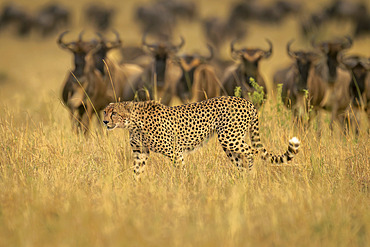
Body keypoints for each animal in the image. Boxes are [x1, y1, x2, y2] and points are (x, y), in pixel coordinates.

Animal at [102, 96, 300, 178]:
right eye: (105, 111)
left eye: (114, 113)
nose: (104, 121)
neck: (132, 122)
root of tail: (247, 101)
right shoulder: (140, 152)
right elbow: (137, 171)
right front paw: (135, 188)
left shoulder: (175, 151)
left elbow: (180, 171)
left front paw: (183, 187)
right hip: (230, 143)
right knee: (242, 159)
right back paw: (243, 181)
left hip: (229, 137)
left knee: (251, 152)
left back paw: (250, 176)